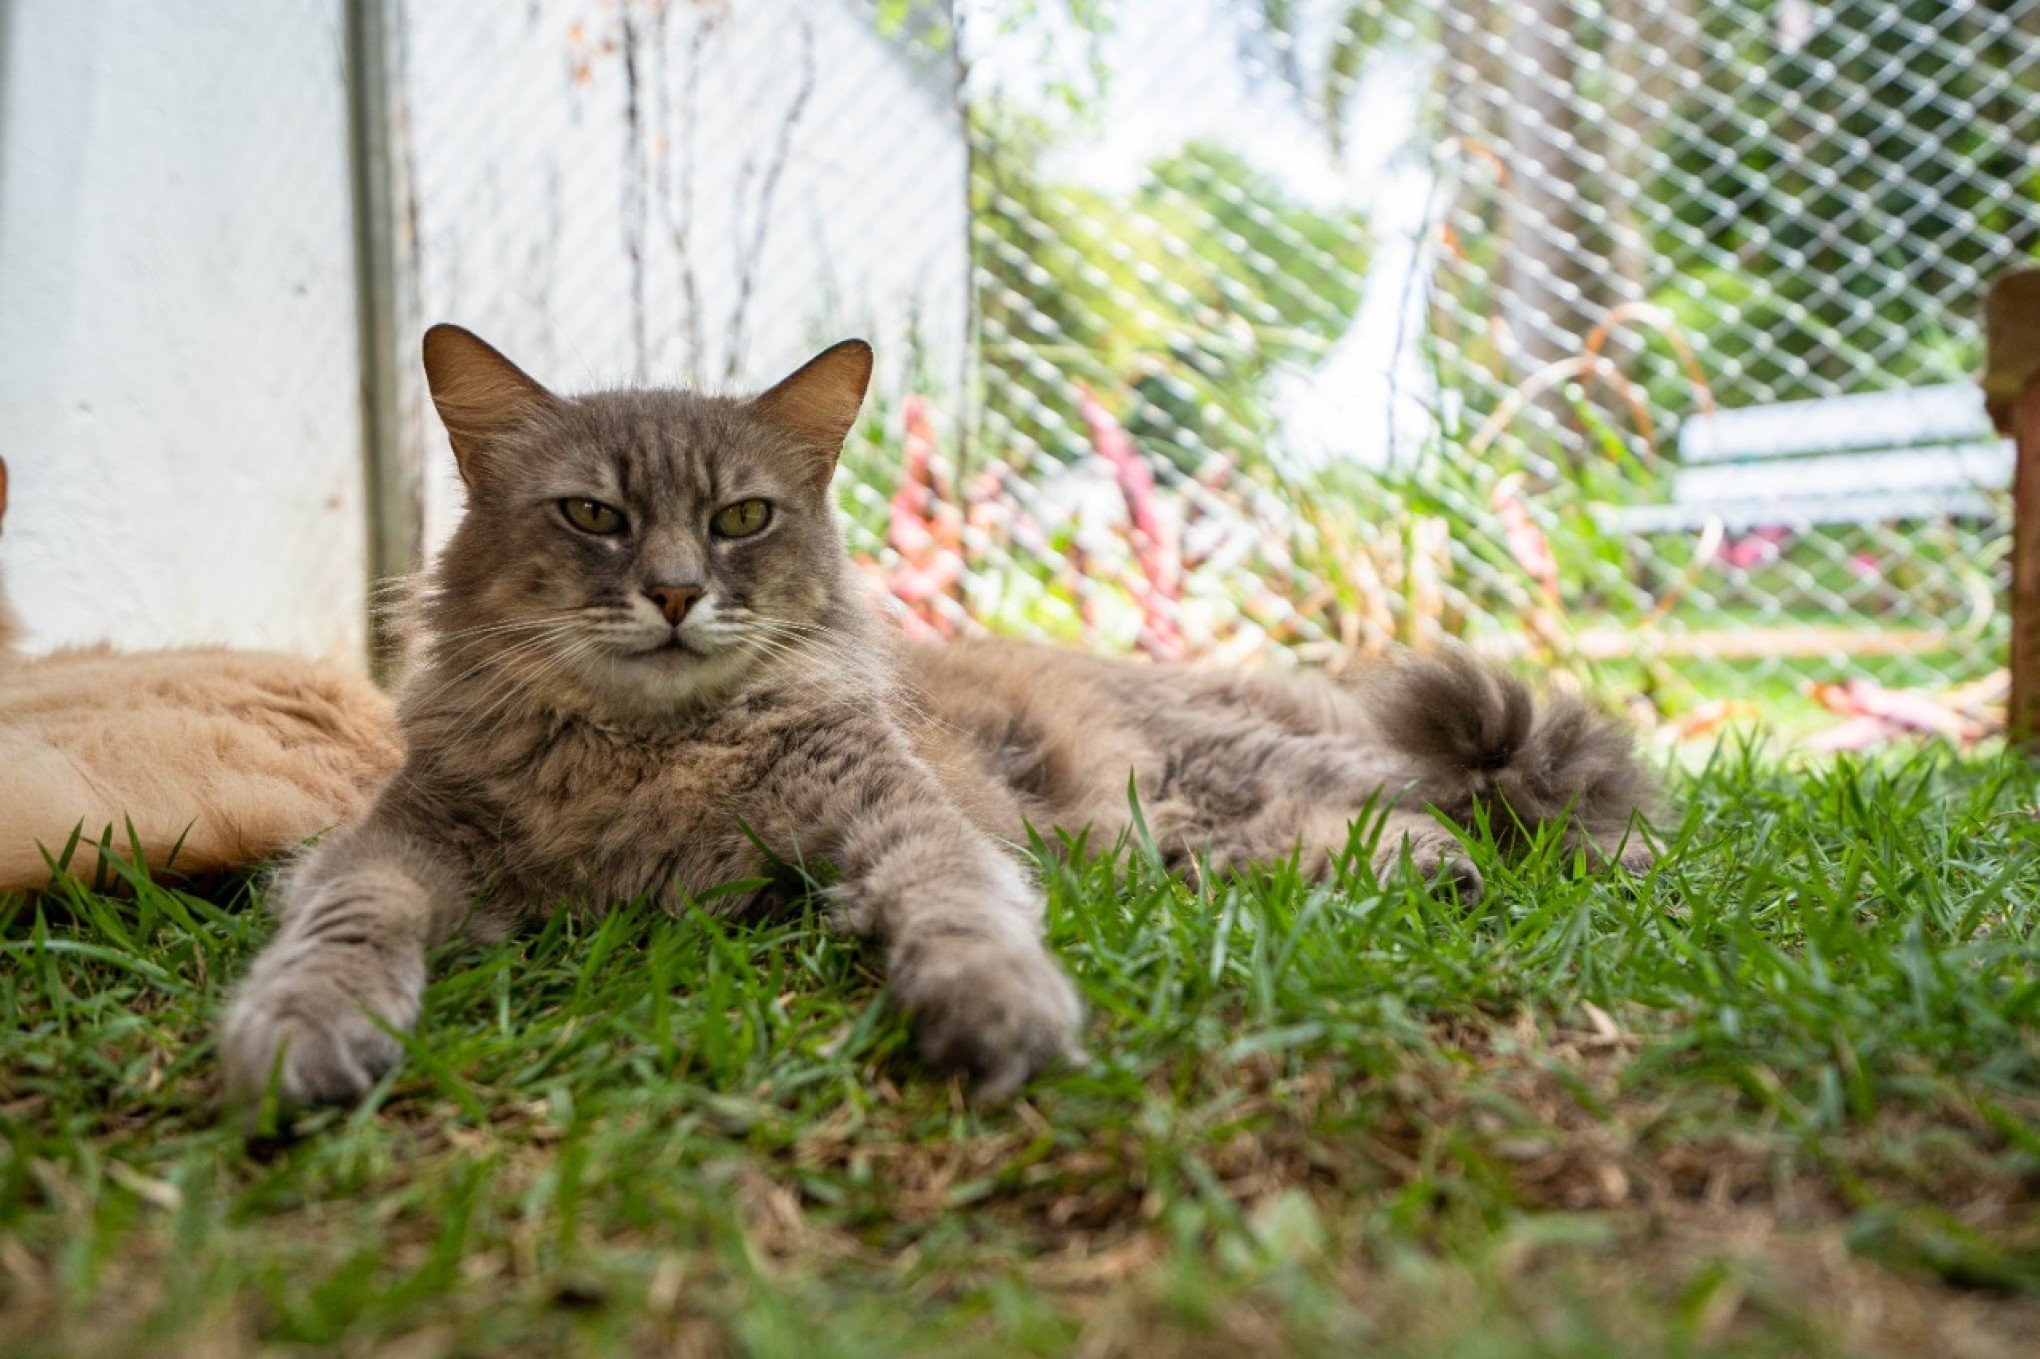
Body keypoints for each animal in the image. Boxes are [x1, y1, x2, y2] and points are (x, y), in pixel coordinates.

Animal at [223, 326, 1656, 1101]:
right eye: (593, 515)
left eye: (743, 517)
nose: (677, 594)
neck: (653, 752)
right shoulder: (399, 842)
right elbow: (343, 931)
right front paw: (300, 1034)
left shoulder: (896, 808)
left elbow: (957, 905)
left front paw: (994, 1008)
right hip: (1188, 816)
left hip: (1232, 762)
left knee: (1498, 801)